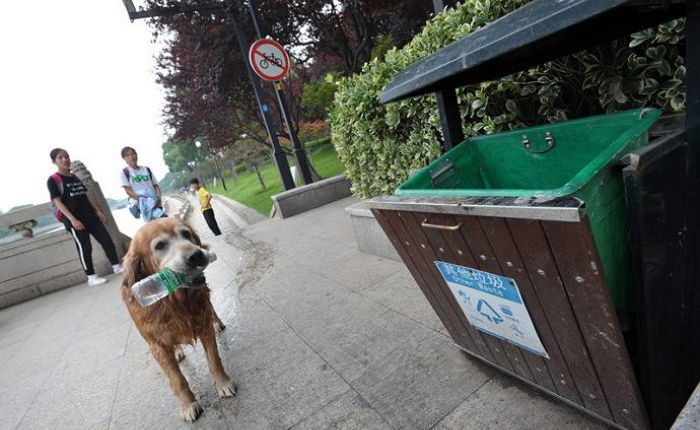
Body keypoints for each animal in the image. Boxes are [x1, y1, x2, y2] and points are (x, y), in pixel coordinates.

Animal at [121, 217, 237, 422]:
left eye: (186, 234)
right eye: (160, 245)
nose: (196, 255)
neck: (173, 301)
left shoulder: (203, 323)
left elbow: (214, 359)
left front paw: (223, 383)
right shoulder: (156, 345)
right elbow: (177, 379)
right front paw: (188, 404)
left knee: (212, 308)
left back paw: (217, 323)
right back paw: (177, 351)